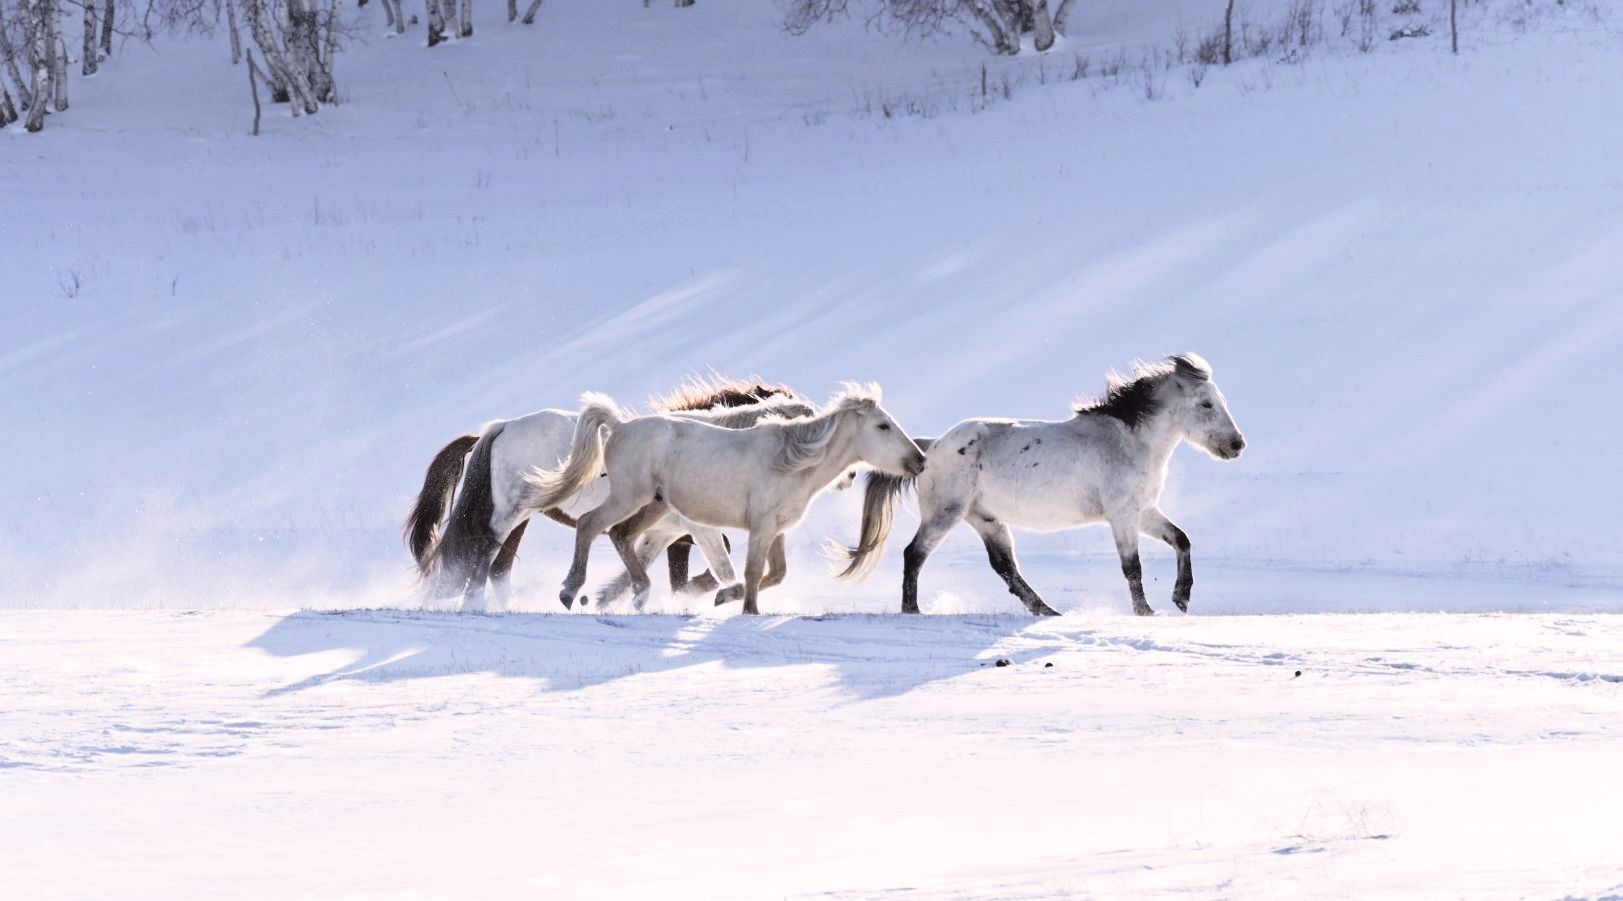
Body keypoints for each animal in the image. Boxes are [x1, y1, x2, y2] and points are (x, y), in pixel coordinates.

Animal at [404, 376, 811, 610]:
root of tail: (501, 426)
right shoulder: (693, 530)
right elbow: (720, 567)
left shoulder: (668, 532)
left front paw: (613, 597)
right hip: (510, 513)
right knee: (487, 553)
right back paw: (475, 606)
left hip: (521, 516)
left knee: (498, 567)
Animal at [525, 384, 921, 616]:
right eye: (883, 426)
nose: (918, 460)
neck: (791, 461)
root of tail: (619, 426)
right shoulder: (759, 528)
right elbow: (749, 570)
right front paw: (746, 610)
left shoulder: (776, 530)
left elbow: (775, 573)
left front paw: (726, 598)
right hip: (629, 497)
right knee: (590, 524)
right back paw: (570, 591)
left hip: (653, 505)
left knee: (622, 536)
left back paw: (638, 594)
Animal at [837, 355, 1239, 616]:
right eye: (1206, 404)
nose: (1237, 444)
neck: (1128, 440)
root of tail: (929, 446)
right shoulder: (1122, 515)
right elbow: (1133, 567)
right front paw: (1146, 612)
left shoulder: (1144, 512)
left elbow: (1181, 539)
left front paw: (1181, 598)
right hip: (945, 514)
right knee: (914, 554)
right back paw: (912, 610)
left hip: (986, 519)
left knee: (1005, 567)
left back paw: (1047, 610)